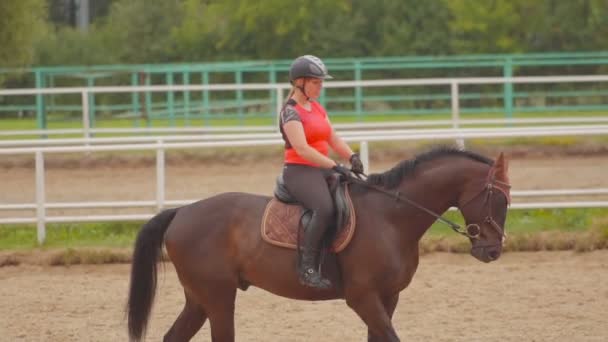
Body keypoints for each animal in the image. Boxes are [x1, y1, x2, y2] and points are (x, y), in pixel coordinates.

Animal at [126, 147, 510, 342]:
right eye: (497, 199)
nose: (492, 251)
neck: (390, 217)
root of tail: (182, 212)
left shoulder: (388, 297)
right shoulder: (363, 298)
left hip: (200, 299)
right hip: (218, 297)